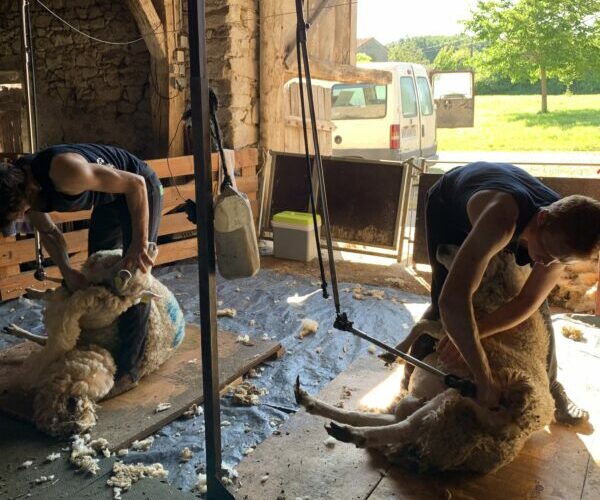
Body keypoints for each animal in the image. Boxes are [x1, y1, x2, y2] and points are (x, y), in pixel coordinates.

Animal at [296, 246, 552, 472]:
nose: (441, 247)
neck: (501, 293)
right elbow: (422, 325)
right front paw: (395, 352)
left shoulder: (449, 333)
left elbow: (422, 324)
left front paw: (394, 351)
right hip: (445, 409)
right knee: (391, 419)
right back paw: (314, 405)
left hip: (452, 403)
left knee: (404, 426)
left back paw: (350, 432)